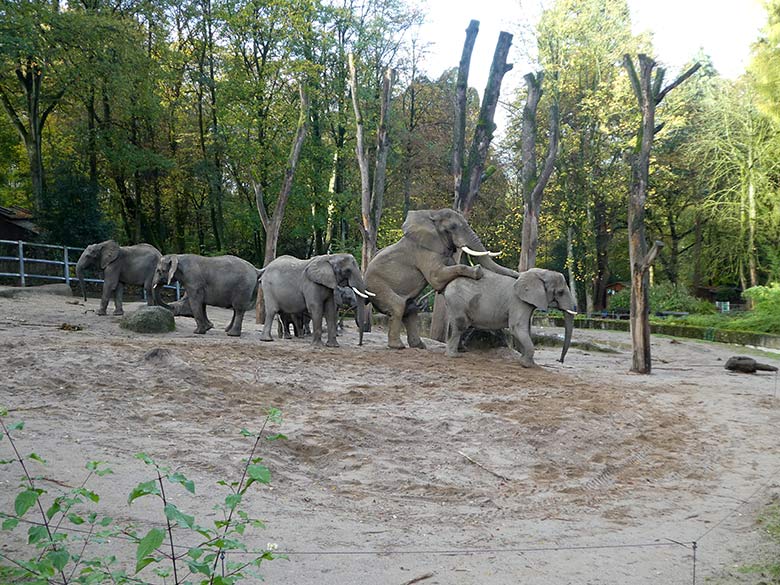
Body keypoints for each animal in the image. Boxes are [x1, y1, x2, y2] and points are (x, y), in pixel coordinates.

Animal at [364, 208, 520, 350]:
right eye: (453, 227)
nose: (517, 274)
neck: (432, 214)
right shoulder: (423, 251)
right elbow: (436, 277)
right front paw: (477, 271)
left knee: (410, 309)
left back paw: (419, 346)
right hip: (377, 285)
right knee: (398, 306)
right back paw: (398, 347)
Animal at [442, 268, 576, 368]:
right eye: (560, 292)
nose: (559, 361)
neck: (537, 273)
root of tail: (447, 287)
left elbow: (524, 329)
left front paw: (528, 362)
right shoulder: (518, 301)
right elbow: (517, 327)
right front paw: (526, 364)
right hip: (457, 301)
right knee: (460, 325)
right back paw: (454, 355)